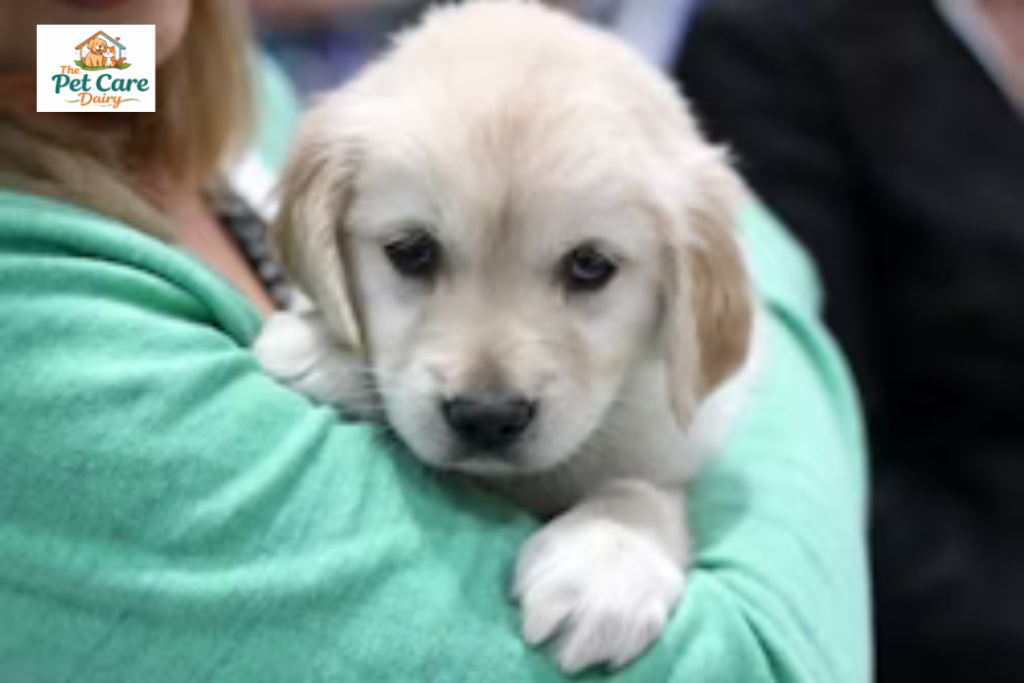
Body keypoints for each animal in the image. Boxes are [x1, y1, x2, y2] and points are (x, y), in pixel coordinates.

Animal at [255, 1, 760, 673]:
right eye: (411, 251)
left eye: (590, 265)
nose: (487, 417)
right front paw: (322, 348)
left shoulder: (672, 439)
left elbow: (645, 488)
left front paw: (607, 559)